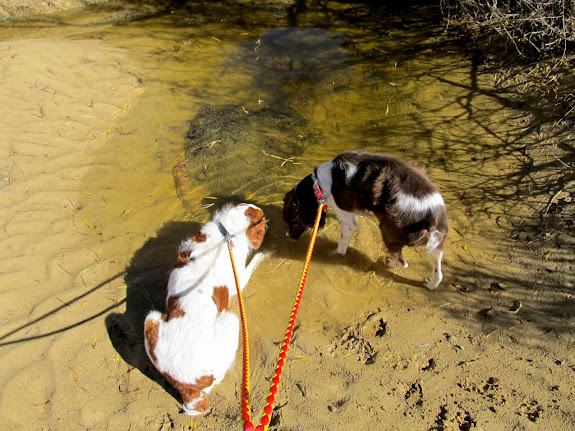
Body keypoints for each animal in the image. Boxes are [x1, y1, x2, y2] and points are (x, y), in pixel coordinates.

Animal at [145, 204, 268, 416]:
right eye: (263, 218)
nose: (269, 223)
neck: (225, 231)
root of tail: (189, 390)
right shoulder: (239, 279)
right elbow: (251, 264)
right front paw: (261, 255)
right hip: (232, 320)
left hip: (151, 319)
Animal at [284, 152, 450, 290]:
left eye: (292, 222)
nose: (287, 237)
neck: (317, 184)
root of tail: (431, 214)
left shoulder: (348, 222)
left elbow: (341, 246)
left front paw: (332, 254)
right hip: (437, 243)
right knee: (438, 271)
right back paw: (431, 284)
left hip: (388, 230)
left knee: (403, 263)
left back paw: (390, 262)